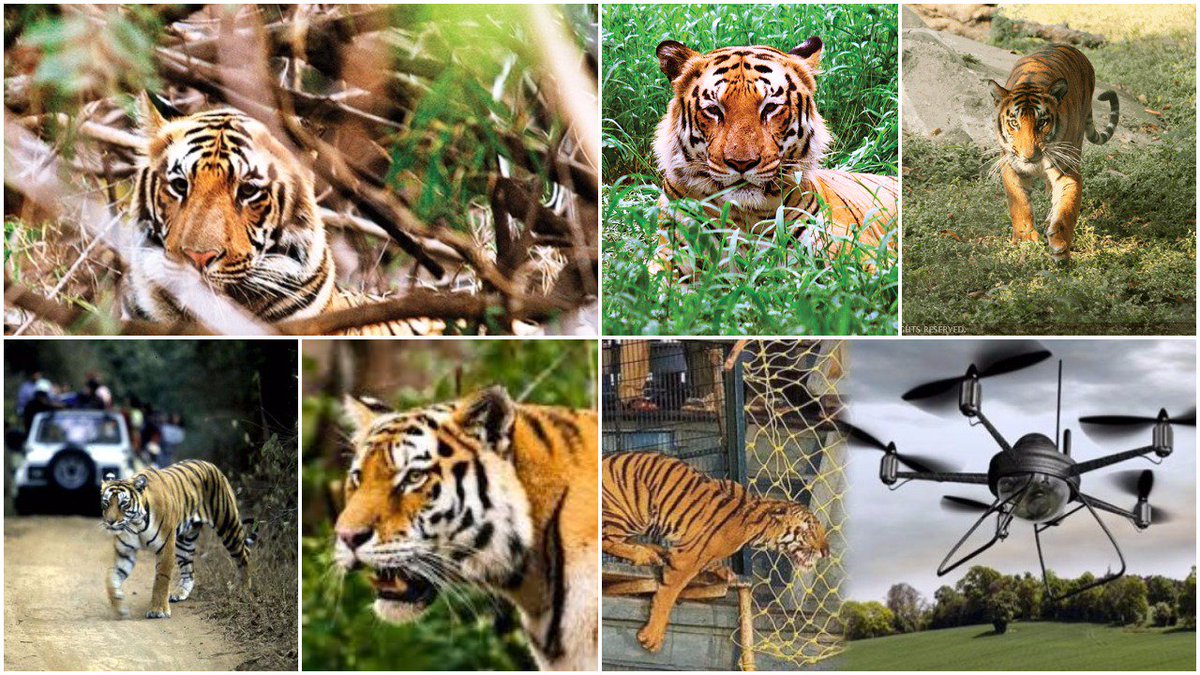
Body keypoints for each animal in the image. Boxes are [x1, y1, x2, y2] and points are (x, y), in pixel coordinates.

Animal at [100, 459, 255, 619]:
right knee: (189, 570)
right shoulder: (125, 553)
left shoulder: (165, 547)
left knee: (244, 554)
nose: (110, 522)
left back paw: (243, 588)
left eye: (123, 504)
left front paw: (158, 610)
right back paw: (179, 593)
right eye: (106, 503)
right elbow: (111, 578)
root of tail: (210, 464)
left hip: (228, 525)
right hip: (185, 542)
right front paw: (120, 607)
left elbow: (161, 578)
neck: (136, 525)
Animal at [602, 452, 830, 653]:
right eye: (810, 531)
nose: (826, 552)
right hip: (634, 509)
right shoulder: (688, 558)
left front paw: (722, 571)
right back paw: (645, 554)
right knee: (607, 539)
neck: (759, 529)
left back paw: (654, 551)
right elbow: (668, 594)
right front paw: (652, 637)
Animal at [990, 44, 1119, 261]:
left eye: (1042, 122)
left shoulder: (1067, 170)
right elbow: (1019, 204)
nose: (1029, 155)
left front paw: (1060, 244)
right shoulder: (1010, 166)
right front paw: (1025, 238)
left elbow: (1067, 207)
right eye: (1014, 123)